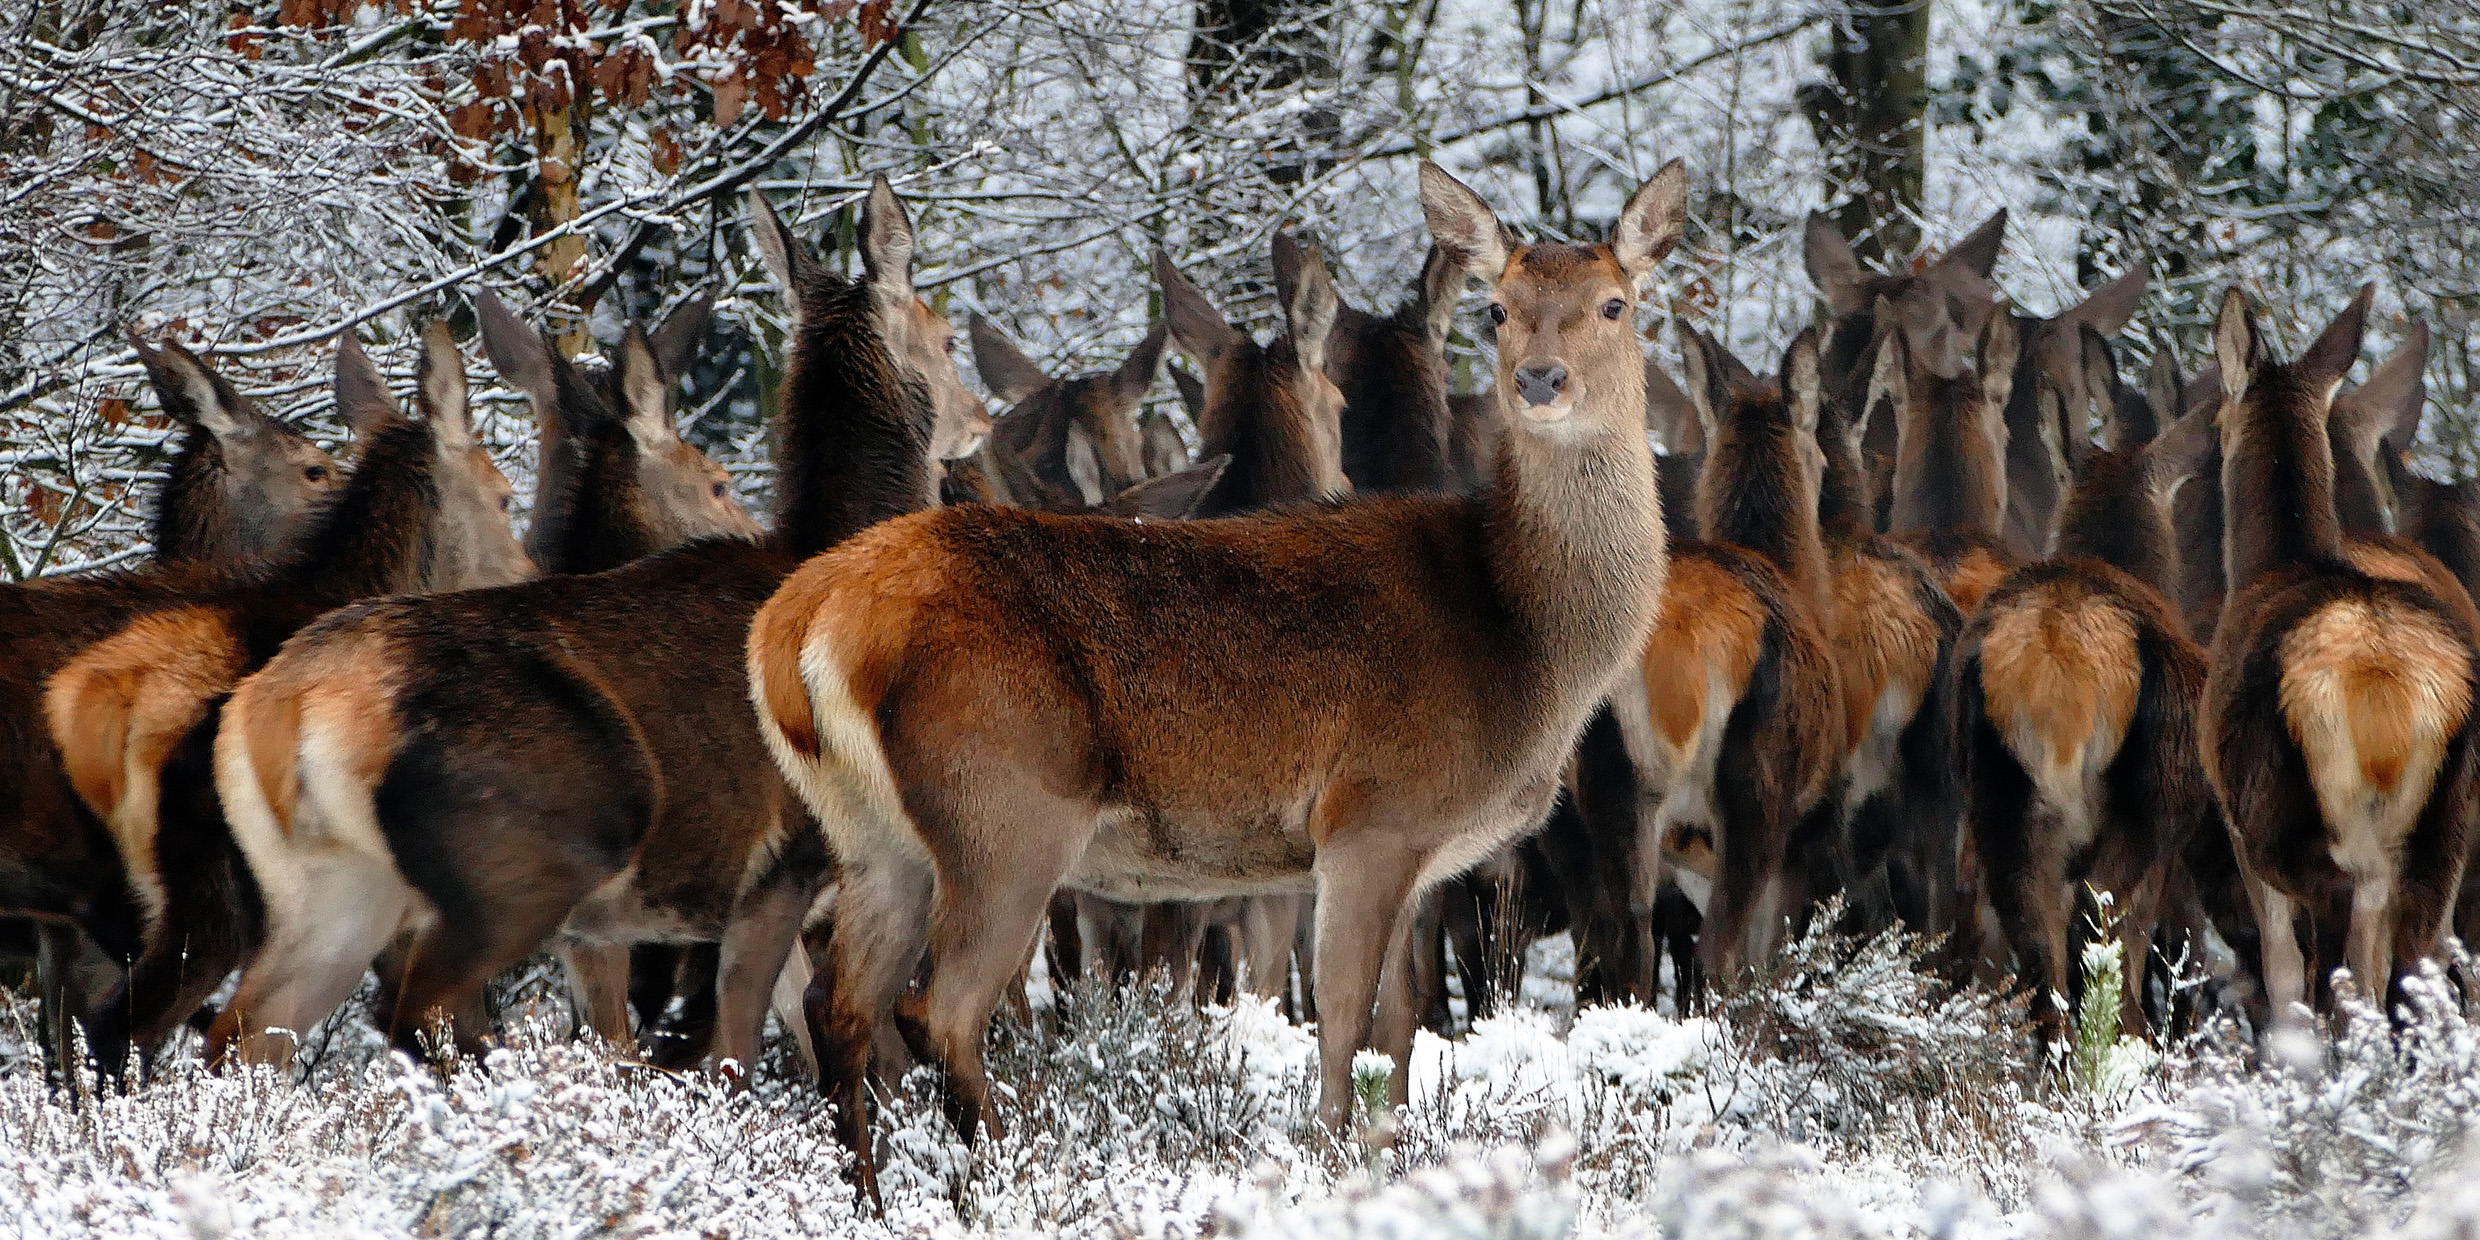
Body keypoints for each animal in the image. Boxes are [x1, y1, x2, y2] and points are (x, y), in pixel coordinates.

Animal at [205, 179, 977, 1081]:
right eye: (949, 335)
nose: (981, 417)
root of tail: (294, 700)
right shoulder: (781, 865)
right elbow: (741, 1055)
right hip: (528, 853)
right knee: (418, 1010)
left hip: (326, 888)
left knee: (241, 1037)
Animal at [748, 157, 1686, 1200]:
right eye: (1498, 307)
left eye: (1613, 302)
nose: (1540, 378)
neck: (1525, 640)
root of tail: (799, 621)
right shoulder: (1370, 815)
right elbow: (1341, 1022)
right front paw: (1334, 1166)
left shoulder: (1421, 852)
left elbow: (1400, 1032)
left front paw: (1398, 1161)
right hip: (1005, 806)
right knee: (936, 1009)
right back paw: (1012, 1176)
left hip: (875, 835)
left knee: (839, 1005)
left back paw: (873, 1195)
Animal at [1597, 324, 1855, 992]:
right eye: (1820, 457)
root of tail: (1681, 649)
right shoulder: (1814, 831)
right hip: (1758, 791)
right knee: (1721, 957)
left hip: (1614, 787)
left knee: (1627, 950)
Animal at [1964, 322, 2222, 1046]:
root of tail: (2058, 670)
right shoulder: (2173, 833)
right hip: (2135, 806)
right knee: (2099, 932)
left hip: (1997, 801)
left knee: (2037, 956)